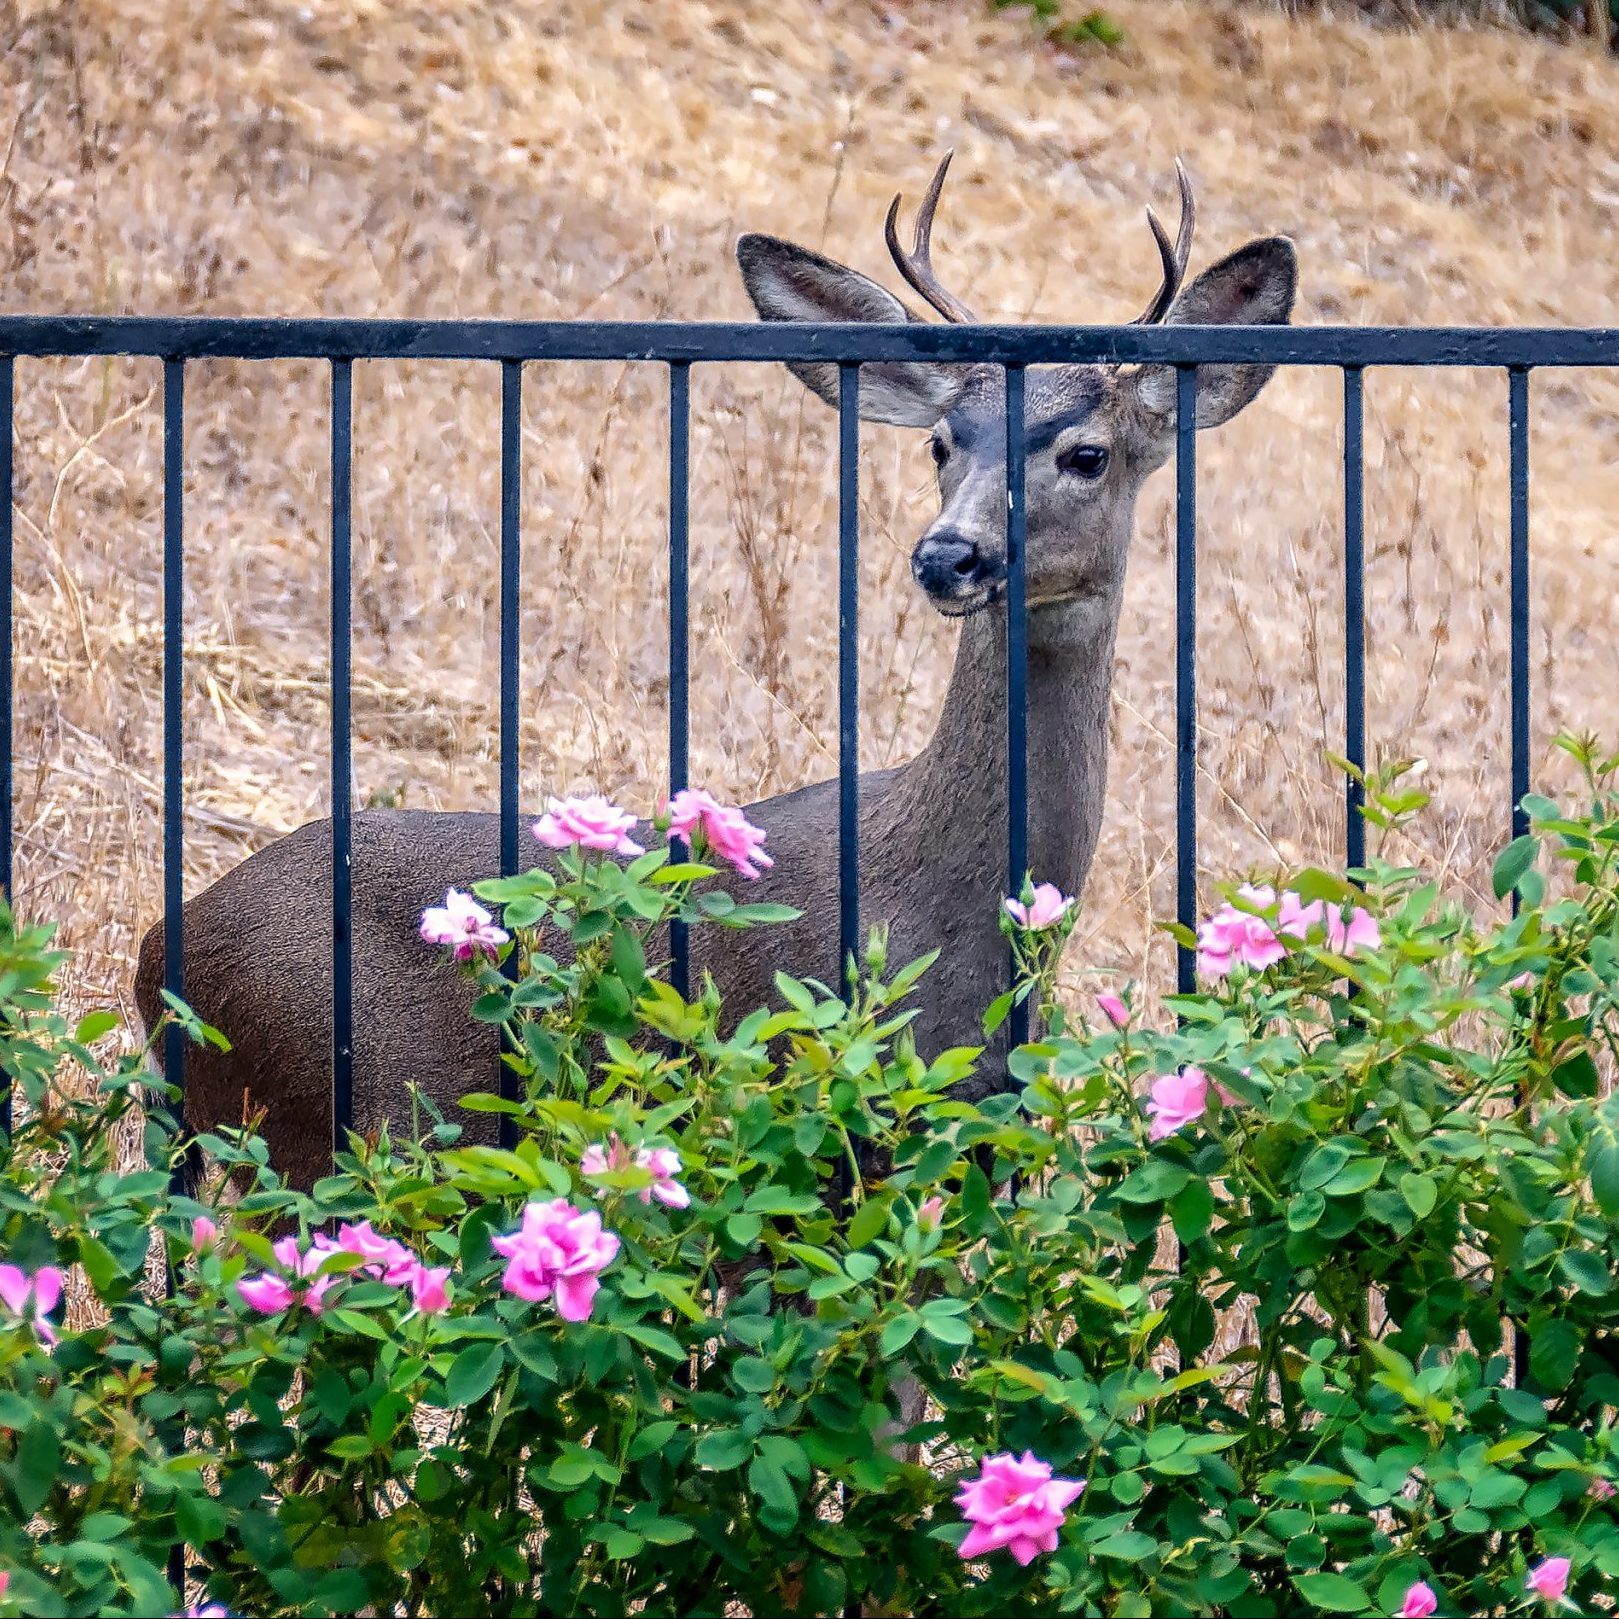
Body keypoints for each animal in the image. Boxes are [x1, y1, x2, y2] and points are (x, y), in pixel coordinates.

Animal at [134, 155, 1297, 1193]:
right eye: (939, 442)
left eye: (1087, 452)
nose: (948, 555)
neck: (941, 913)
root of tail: (157, 958)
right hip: (334, 1119)